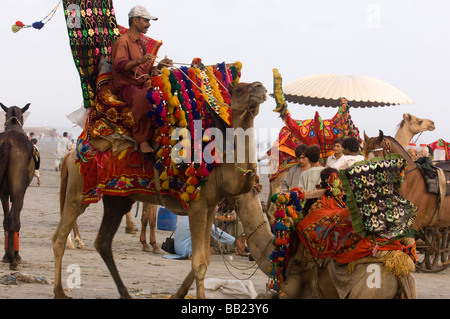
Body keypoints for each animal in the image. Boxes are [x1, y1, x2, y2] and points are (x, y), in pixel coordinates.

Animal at [51, 80, 268, 300]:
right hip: (78, 191)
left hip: (117, 200)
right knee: (59, 237)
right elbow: (199, 262)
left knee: (102, 241)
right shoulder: (197, 205)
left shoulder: (210, 206)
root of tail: (72, 154)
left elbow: (205, 258)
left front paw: (177, 295)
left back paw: (125, 293)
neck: (220, 167)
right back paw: (60, 291)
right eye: (239, 89)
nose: (261, 87)